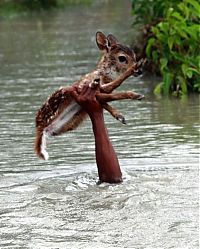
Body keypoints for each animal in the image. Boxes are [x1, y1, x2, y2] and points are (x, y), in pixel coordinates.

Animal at [34, 31, 145, 160]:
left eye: (134, 55)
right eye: (122, 58)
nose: (139, 71)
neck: (103, 76)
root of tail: (40, 129)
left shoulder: (97, 93)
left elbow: (107, 99)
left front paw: (119, 116)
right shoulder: (87, 87)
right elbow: (111, 90)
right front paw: (135, 94)